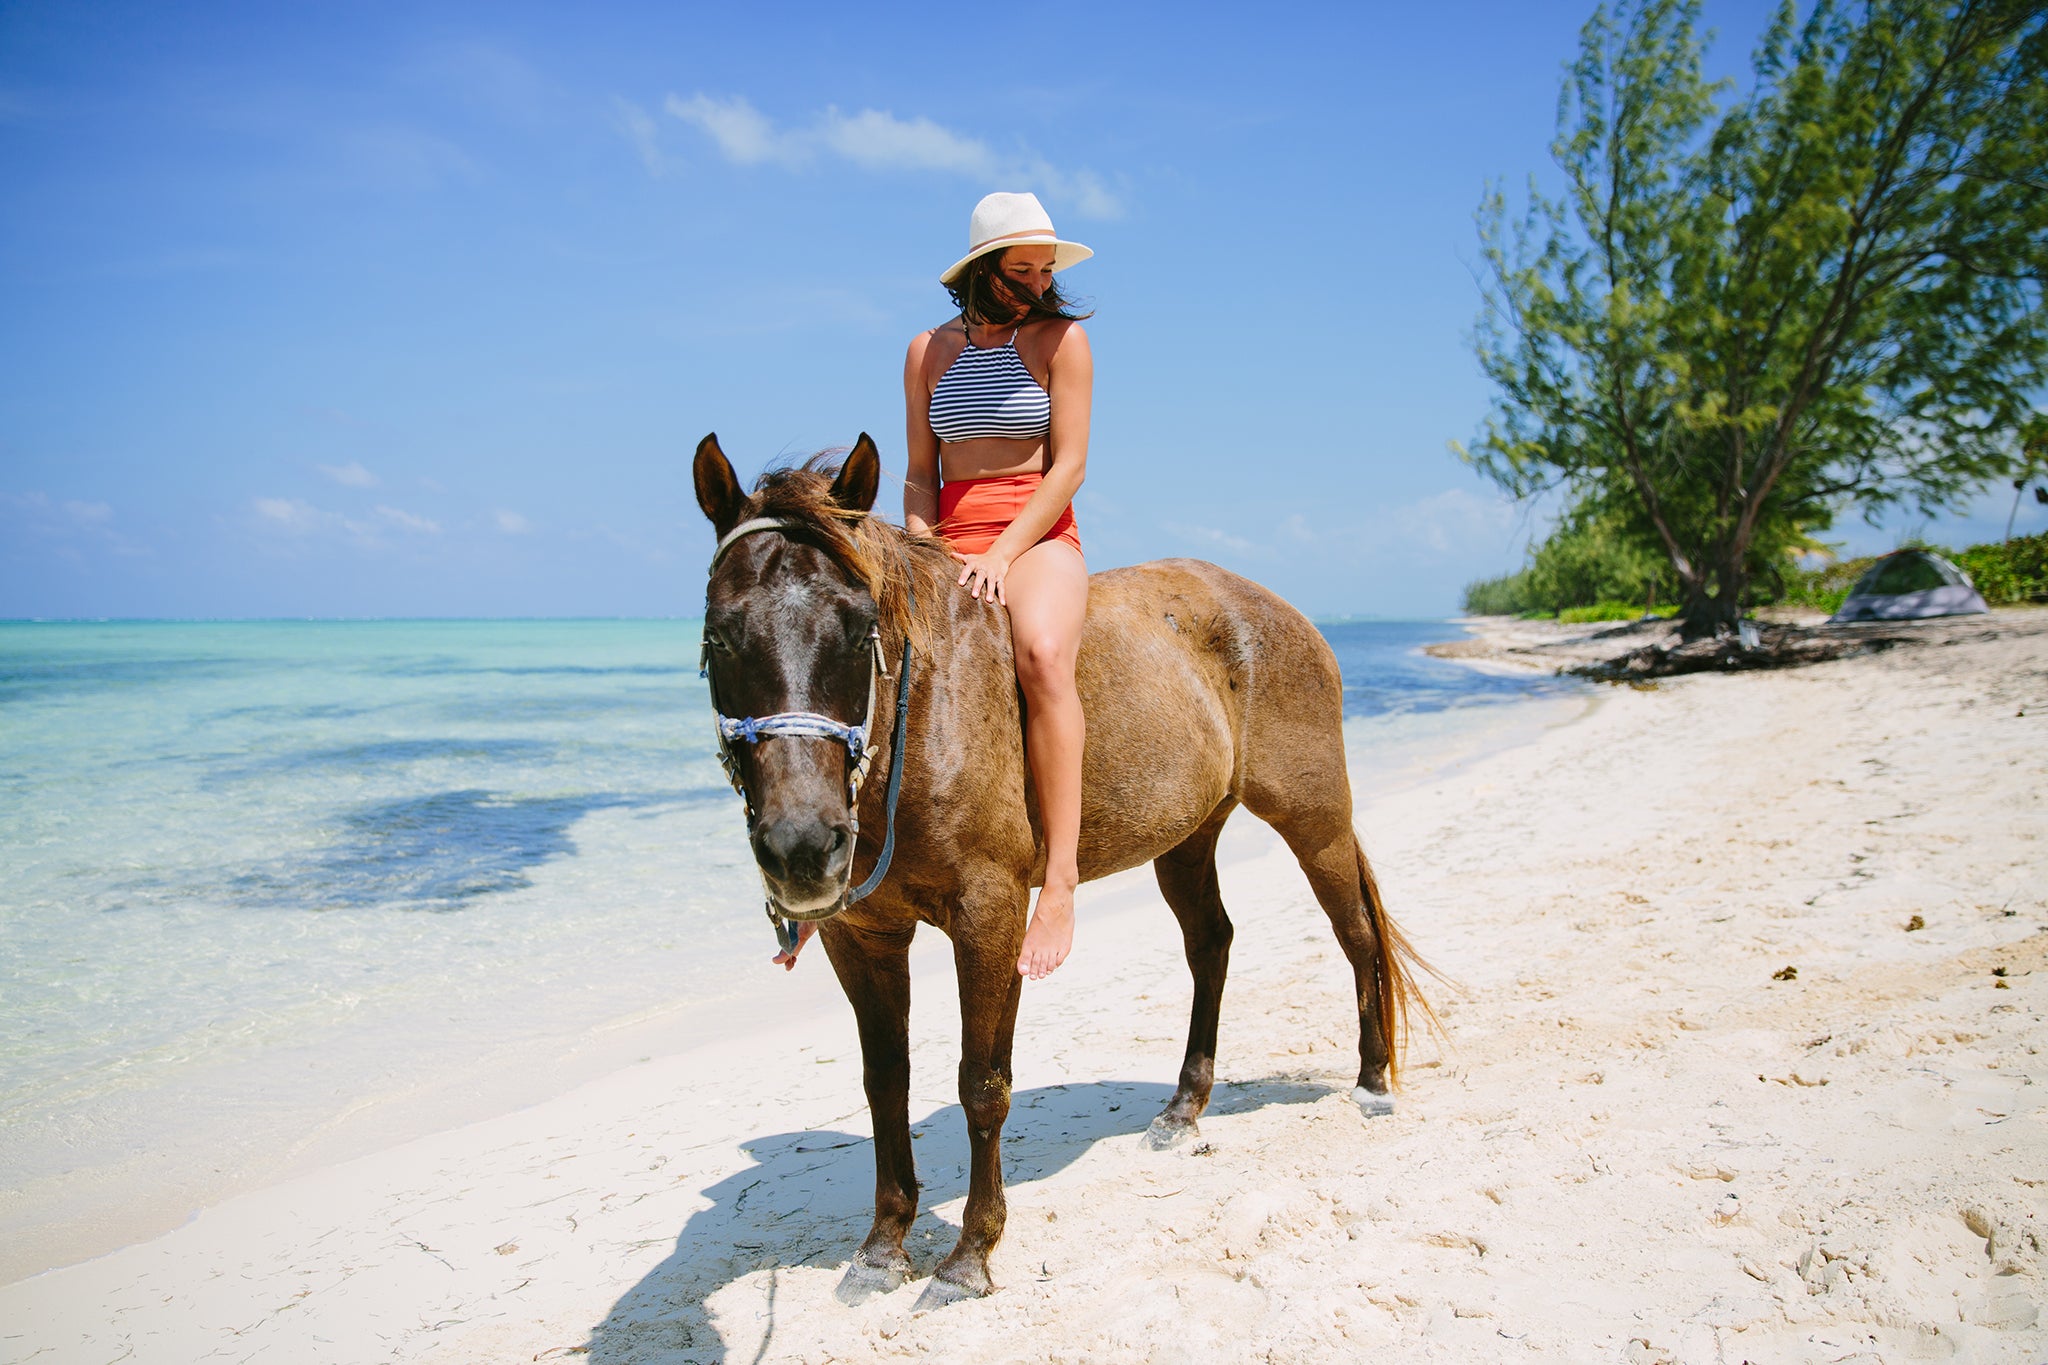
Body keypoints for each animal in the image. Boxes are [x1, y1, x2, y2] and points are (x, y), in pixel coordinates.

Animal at [688, 435, 1425, 1309]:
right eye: (720, 635)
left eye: (860, 625)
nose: (802, 844)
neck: (920, 715)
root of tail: (1276, 609)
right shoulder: (863, 936)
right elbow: (886, 1082)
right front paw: (883, 1245)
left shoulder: (989, 913)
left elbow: (982, 1081)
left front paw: (970, 1254)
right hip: (1186, 839)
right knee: (1212, 945)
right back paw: (1185, 1107)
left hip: (1314, 821)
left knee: (1355, 934)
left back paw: (1373, 1081)